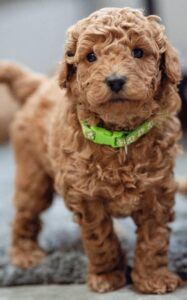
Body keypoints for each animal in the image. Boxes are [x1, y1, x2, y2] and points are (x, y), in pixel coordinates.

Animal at [0, 7, 183, 296]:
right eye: (91, 56)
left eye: (138, 52)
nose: (115, 80)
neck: (119, 138)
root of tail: (38, 84)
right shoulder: (86, 196)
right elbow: (99, 238)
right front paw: (107, 276)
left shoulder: (158, 189)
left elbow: (154, 238)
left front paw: (154, 277)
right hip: (33, 174)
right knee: (24, 214)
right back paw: (24, 254)